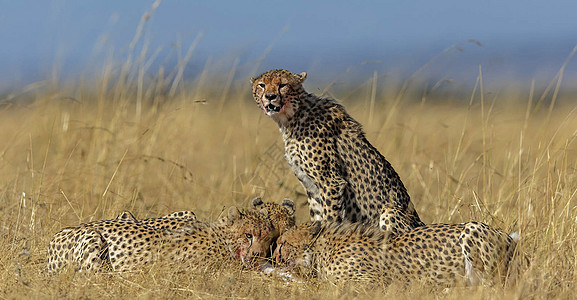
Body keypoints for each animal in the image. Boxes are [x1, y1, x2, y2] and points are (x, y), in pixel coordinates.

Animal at [250, 69, 420, 231]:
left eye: (283, 85)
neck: (292, 117)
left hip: (390, 211)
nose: (270, 96)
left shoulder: (330, 182)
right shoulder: (311, 187)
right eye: (262, 85)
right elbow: (317, 217)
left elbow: (330, 219)